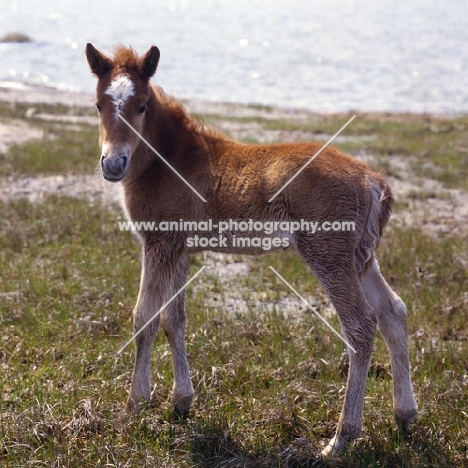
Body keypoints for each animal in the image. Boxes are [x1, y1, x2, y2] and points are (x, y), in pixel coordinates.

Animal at [87, 43, 416, 454]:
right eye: (98, 104)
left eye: (142, 106)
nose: (113, 164)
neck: (170, 161)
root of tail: (372, 179)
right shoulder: (180, 248)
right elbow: (173, 319)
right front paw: (181, 402)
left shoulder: (158, 242)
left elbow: (144, 317)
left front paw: (133, 407)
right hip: (361, 257)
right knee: (393, 311)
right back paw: (404, 416)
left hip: (328, 252)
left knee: (360, 325)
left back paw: (341, 438)